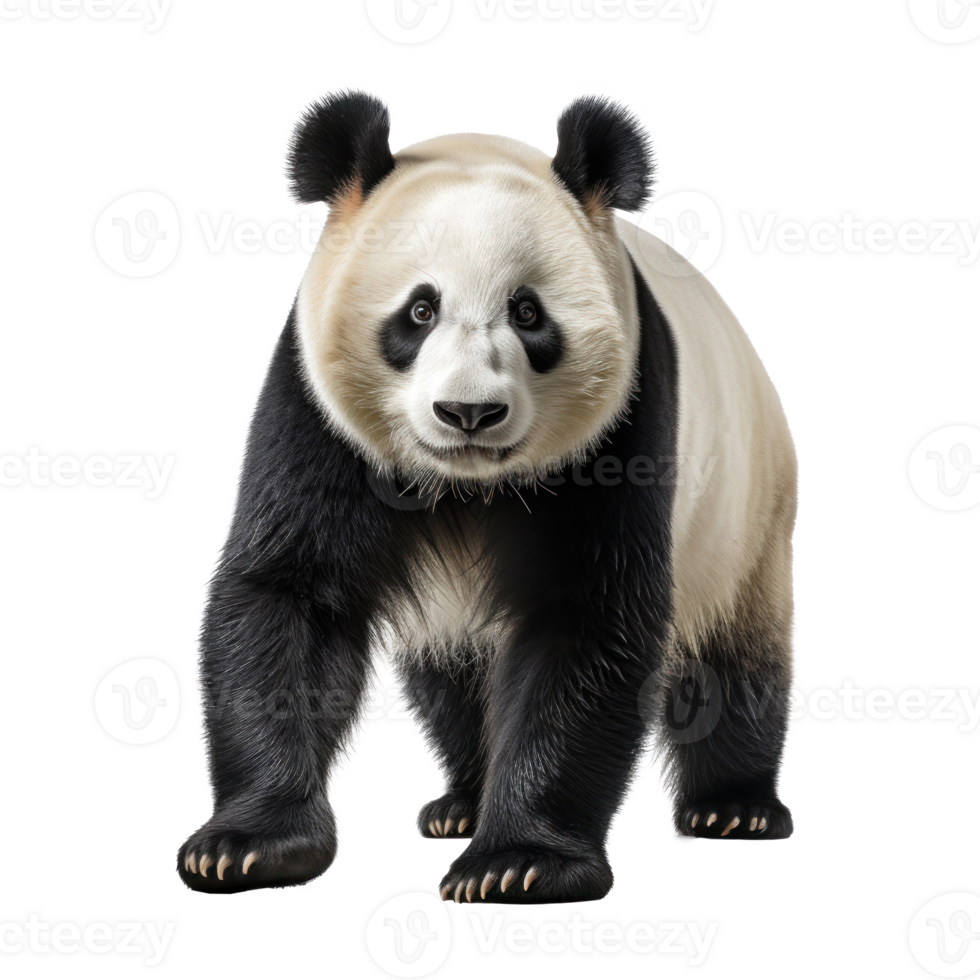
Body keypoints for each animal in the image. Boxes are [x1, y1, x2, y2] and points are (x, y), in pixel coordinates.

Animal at [176, 84, 800, 902]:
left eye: (528, 313)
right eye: (419, 311)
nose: (468, 412)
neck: (467, 484)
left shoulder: (622, 429)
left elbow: (586, 617)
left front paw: (520, 862)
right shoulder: (315, 415)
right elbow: (290, 594)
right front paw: (249, 844)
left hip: (744, 510)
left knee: (735, 659)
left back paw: (735, 807)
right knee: (455, 678)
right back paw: (462, 802)